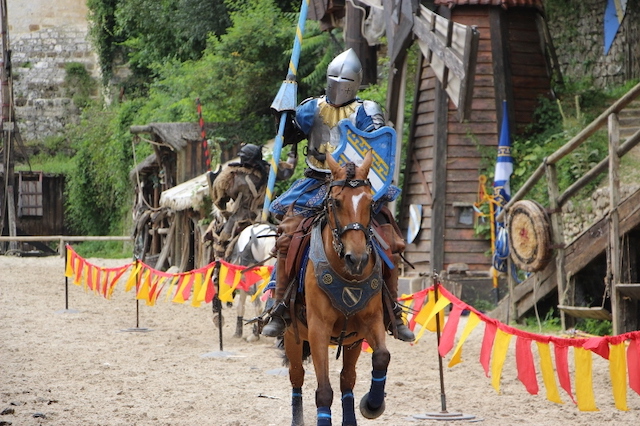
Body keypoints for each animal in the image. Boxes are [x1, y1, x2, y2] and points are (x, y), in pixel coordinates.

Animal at [284, 152, 390, 426]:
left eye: (370, 202)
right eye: (335, 202)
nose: (358, 259)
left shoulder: (371, 320)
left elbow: (381, 356)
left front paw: (373, 405)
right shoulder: (318, 329)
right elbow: (323, 391)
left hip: (353, 341)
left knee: (347, 379)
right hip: (292, 334)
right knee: (297, 375)